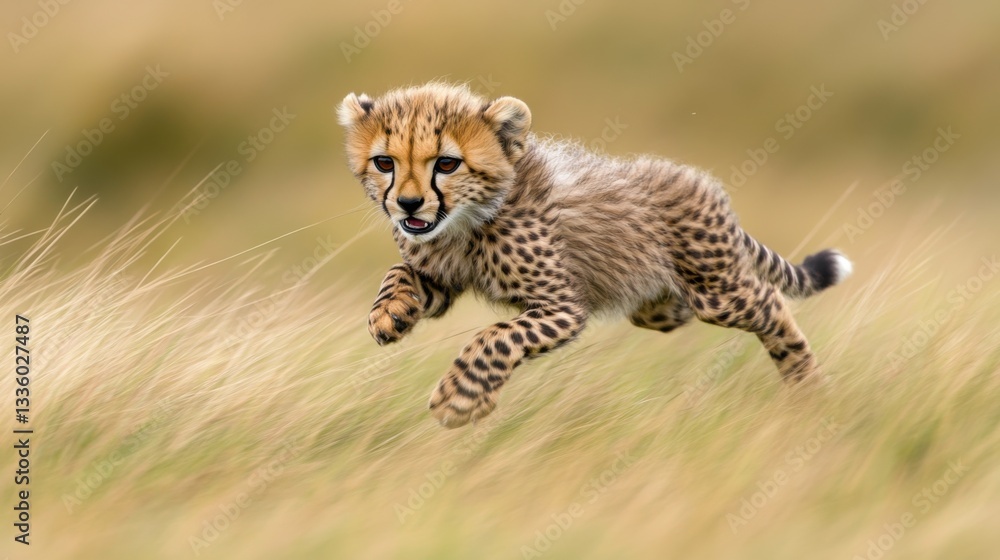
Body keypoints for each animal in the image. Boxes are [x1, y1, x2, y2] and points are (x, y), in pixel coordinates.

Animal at [337, 82, 852, 429]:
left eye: (446, 163)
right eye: (385, 163)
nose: (408, 205)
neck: (468, 222)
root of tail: (695, 179)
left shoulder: (562, 306)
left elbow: (495, 338)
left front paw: (460, 399)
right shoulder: (441, 277)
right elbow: (401, 271)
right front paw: (389, 313)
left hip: (719, 292)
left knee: (770, 301)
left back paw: (808, 384)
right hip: (657, 302)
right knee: (679, 307)